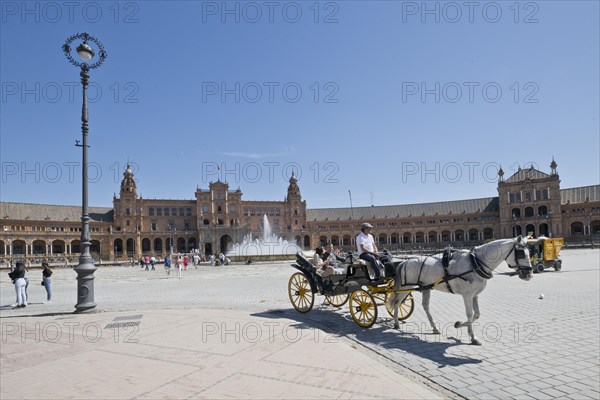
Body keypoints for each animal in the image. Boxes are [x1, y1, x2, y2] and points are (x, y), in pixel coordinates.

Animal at [386, 236, 532, 346]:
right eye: (521, 253)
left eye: (530, 253)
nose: (529, 274)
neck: (475, 262)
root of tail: (405, 262)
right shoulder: (467, 295)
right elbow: (469, 314)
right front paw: (471, 336)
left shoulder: (475, 295)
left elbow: (476, 315)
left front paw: (460, 325)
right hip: (406, 287)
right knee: (397, 302)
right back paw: (396, 323)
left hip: (425, 287)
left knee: (425, 306)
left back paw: (434, 327)